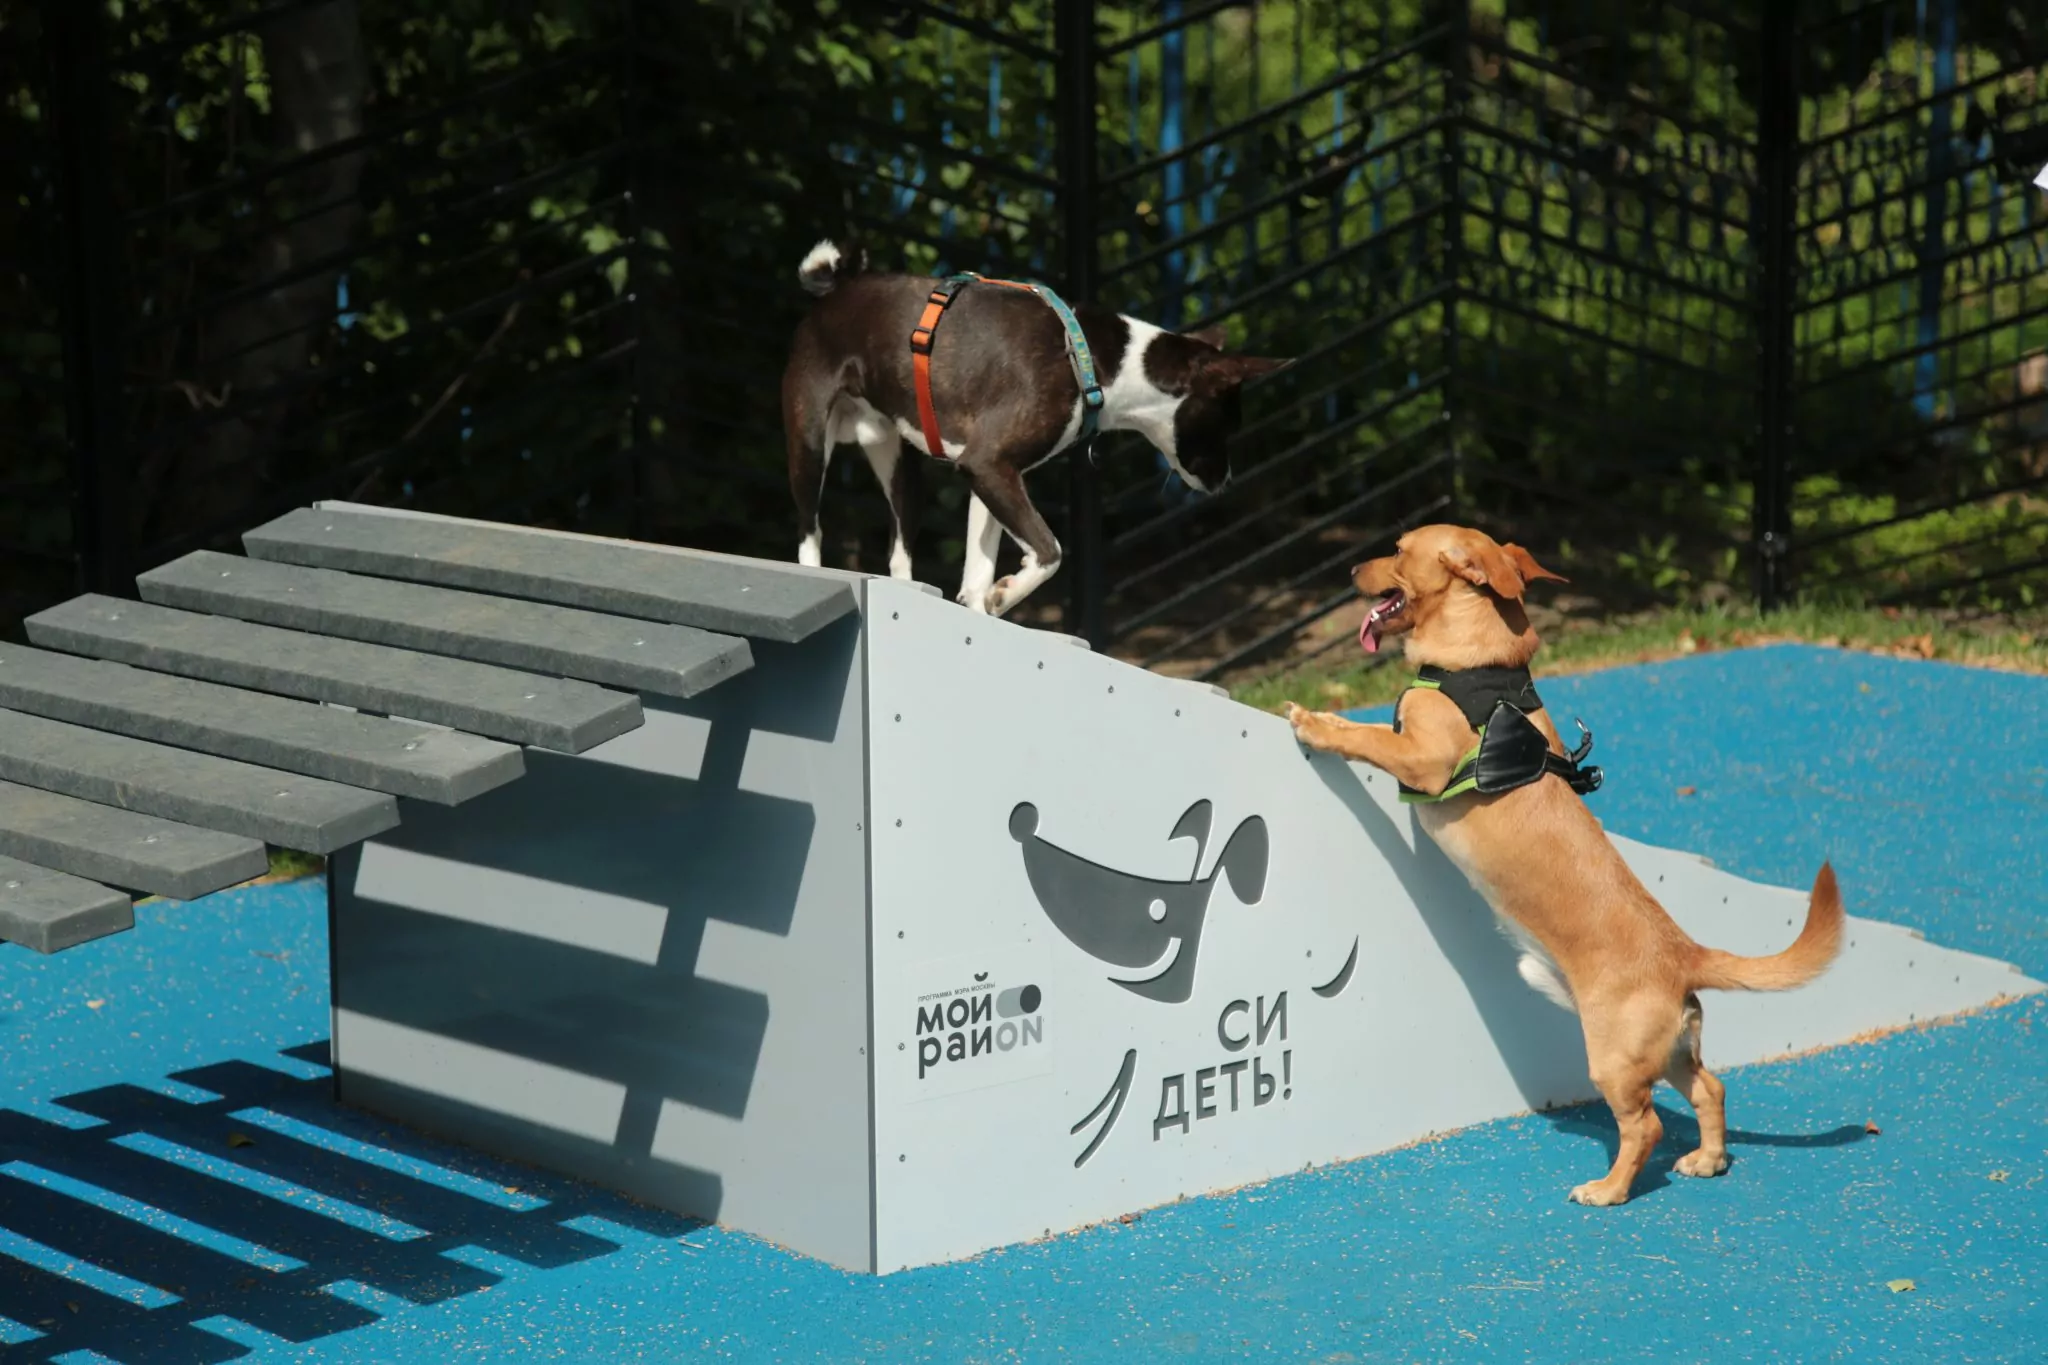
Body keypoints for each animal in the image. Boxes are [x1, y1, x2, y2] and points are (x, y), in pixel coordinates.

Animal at [782, 240, 1288, 616]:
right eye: (1226, 424)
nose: (1226, 481)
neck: (1100, 364)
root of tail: (837, 290)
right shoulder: (989, 466)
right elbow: (1051, 551)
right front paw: (1007, 592)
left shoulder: (989, 474)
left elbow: (977, 574)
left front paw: (984, 605)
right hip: (809, 444)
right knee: (809, 533)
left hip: (901, 466)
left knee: (899, 550)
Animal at [1285, 524, 1844, 1206]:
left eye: (1396, 549)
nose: (1348, 570)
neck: (1481, 669)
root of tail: (1683, 953)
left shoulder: (1420, 760)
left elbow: (1366, 737)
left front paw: (1316, 724)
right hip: (1670, 1051)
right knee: (1711, 1088)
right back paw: (1708, 1160)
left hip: (1614, 1059)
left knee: (1646, 1126)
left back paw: (1609, 1190)